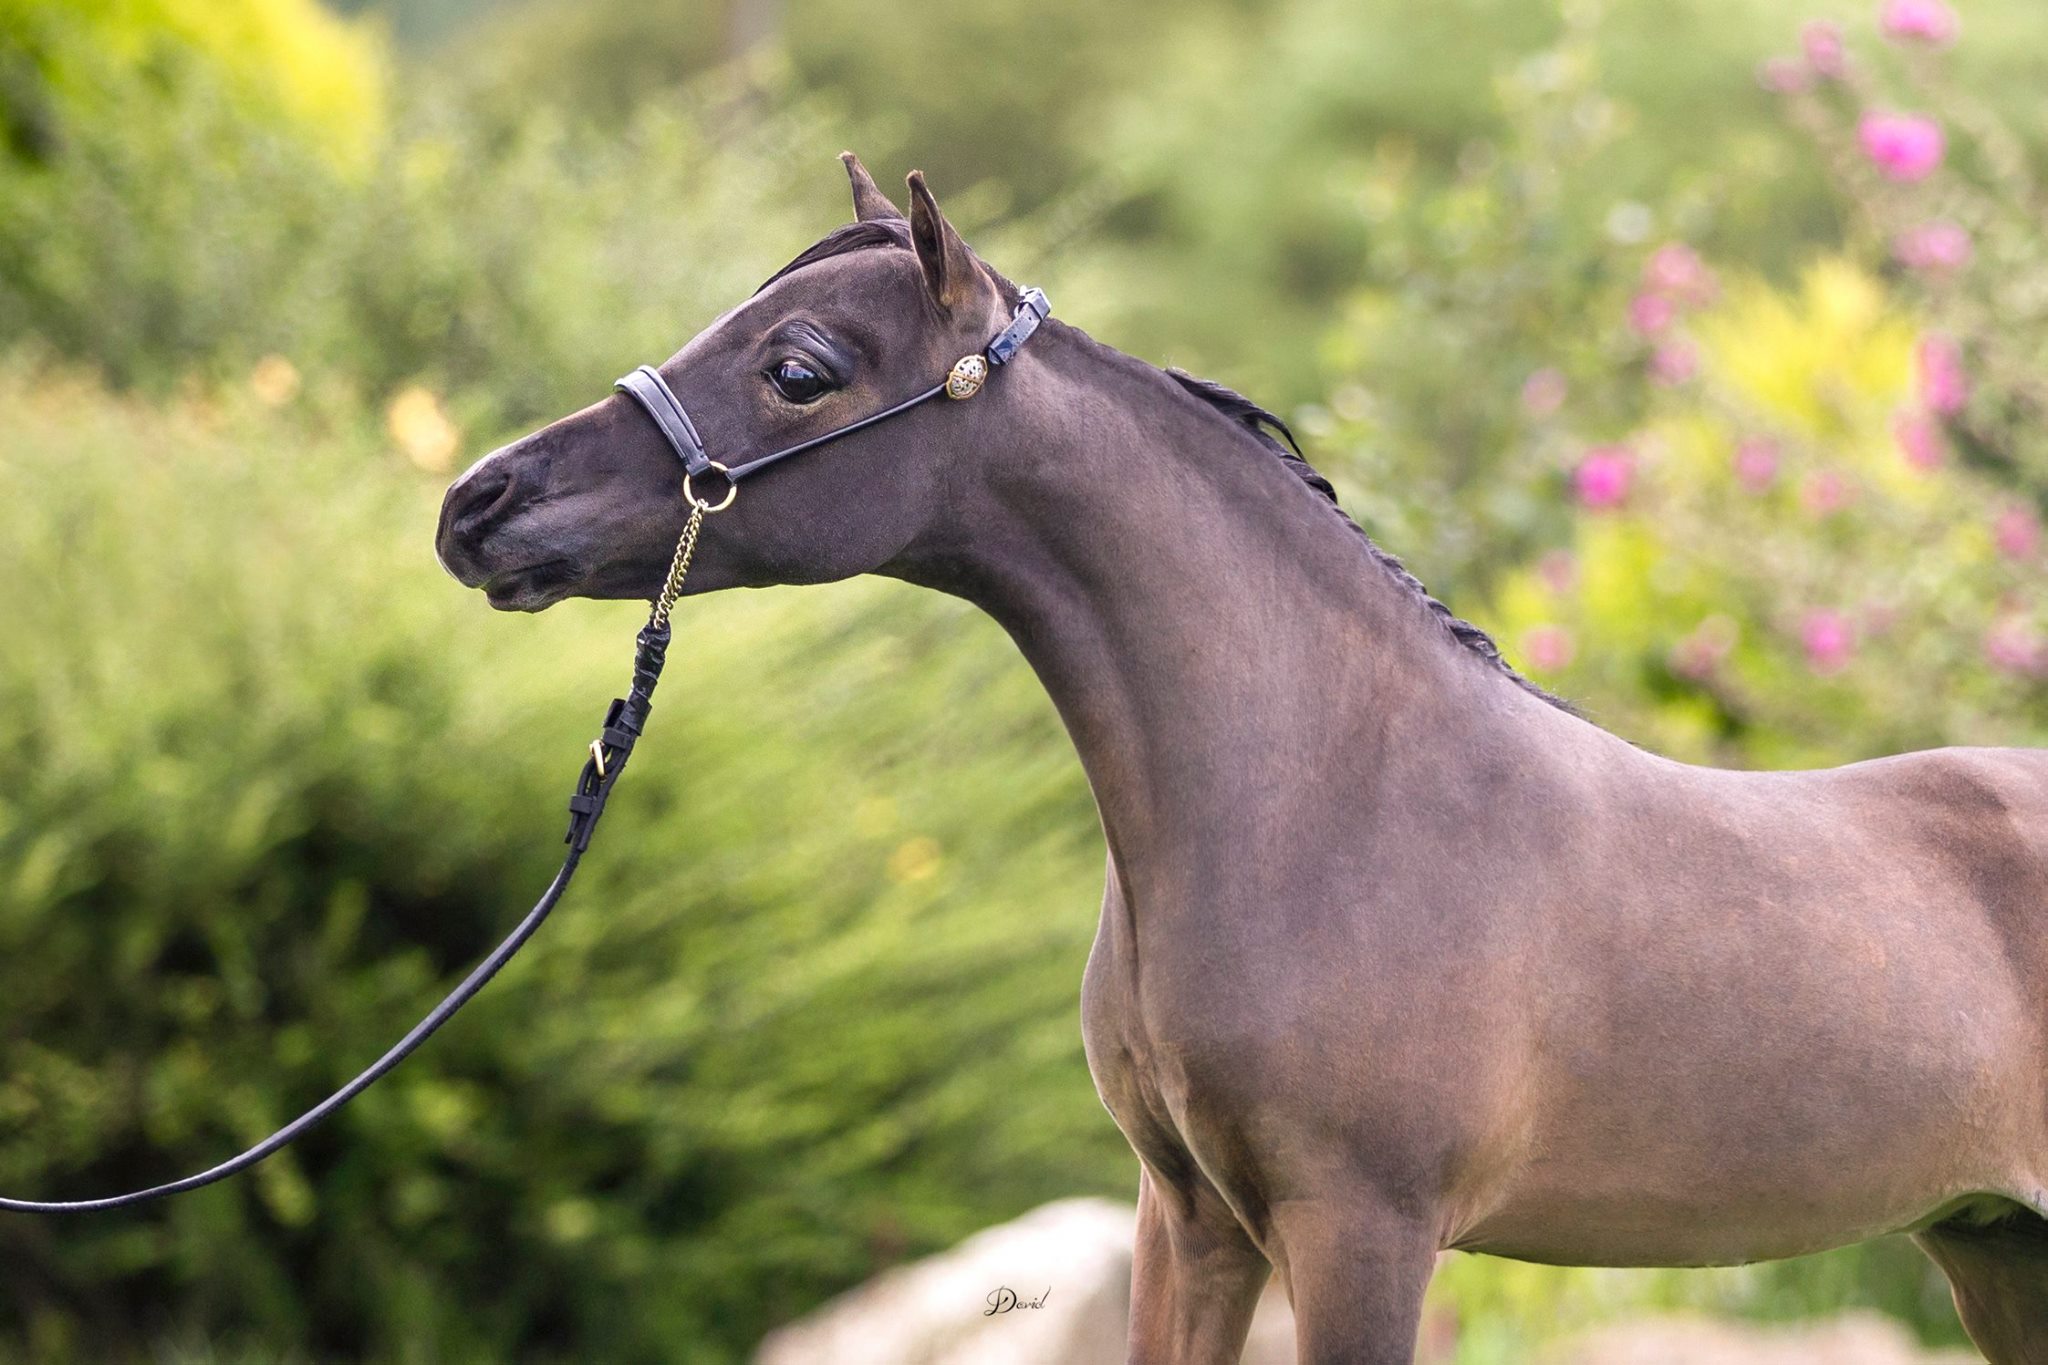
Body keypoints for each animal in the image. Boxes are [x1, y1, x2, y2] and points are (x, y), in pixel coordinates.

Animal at [435, 154, 2048, 1364]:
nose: (479, 504)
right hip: (1991, 1248)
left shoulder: (1362, 1231)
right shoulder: (1189, 1220)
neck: (1322, 800)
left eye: (796, 368)